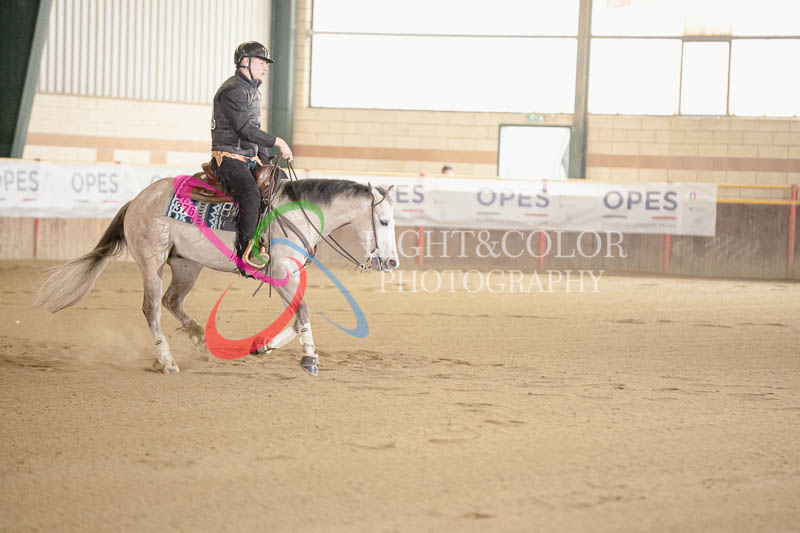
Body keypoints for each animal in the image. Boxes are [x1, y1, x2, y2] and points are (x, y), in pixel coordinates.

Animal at [35, 173, 400, 376]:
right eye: (383, 221)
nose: (393, 262)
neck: (296, 213)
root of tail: (138, 200)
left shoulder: (288, 275)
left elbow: (298, 316)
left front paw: (264, 346)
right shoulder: (282, 271)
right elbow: (304, 312)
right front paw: (309, 358)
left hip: (186, 264)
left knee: (172, 301)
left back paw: (198, 339)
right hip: (152, 262)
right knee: (151, 309)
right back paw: (167, 360)